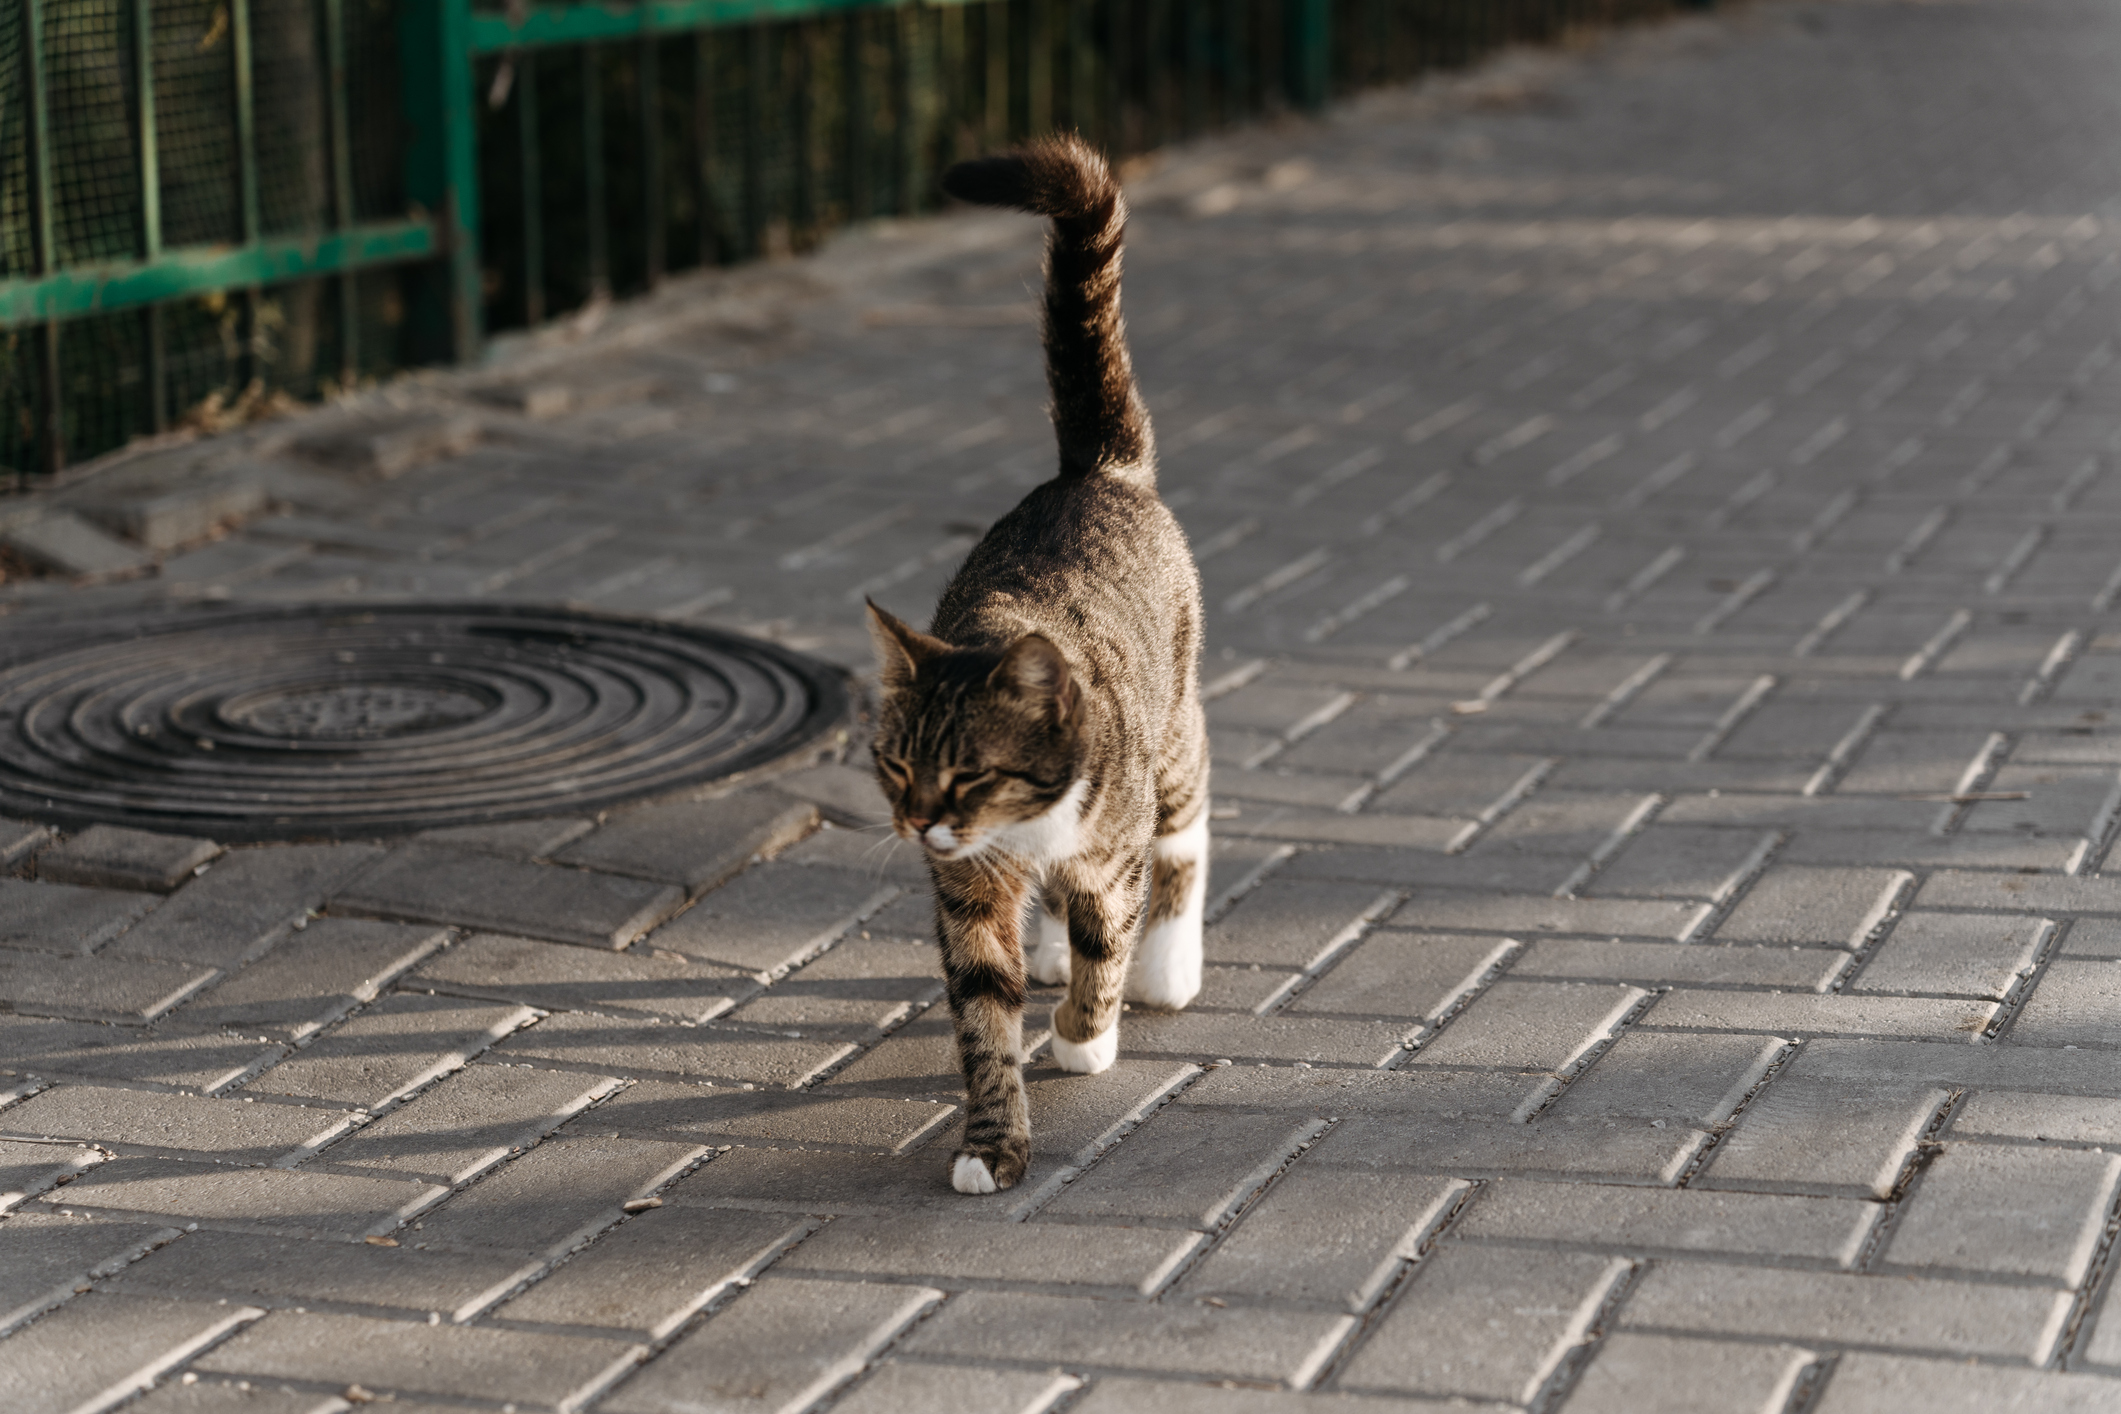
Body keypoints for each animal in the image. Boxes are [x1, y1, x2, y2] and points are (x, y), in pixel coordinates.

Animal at [865, 135, 1213, 1195]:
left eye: (969, 772)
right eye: (896, 765)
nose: (917, 823)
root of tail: (1092, 472)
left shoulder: (1108, 843)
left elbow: (1108, 939)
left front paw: (1083, 1036)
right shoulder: (967, 891)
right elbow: (983, 1003)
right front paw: (991, 1143)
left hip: (1172, 725)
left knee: (1185, 832)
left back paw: (1165, 963)